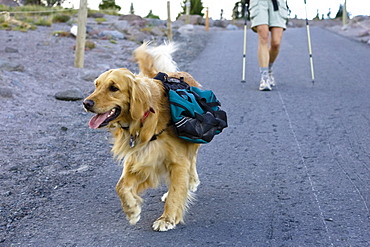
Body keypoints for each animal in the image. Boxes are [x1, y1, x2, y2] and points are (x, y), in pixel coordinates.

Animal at [83, 42, 201, 232]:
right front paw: (131, 209)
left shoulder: (177, 160)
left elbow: (177, 191)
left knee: (192, 162)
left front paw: (167, 218)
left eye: (113, 88)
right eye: (96, 85)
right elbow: (121, 186)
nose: (86, 103)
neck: (144, 119)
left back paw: (191, 182)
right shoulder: (140, 158)